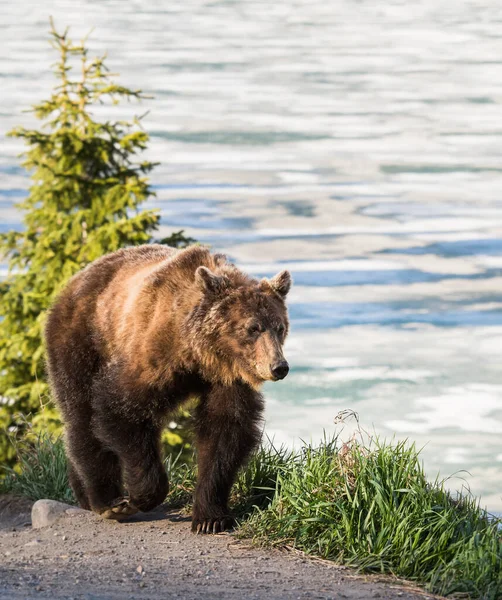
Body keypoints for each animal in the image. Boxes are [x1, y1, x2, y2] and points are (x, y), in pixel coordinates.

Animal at [46, 245, 294, 536]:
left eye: (280, 327)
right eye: (253, 327)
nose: (279, 367)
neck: (199, 355)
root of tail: (76, 279)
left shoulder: (228, 380)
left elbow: (225, 431)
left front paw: (210, 517)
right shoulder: (153, 357)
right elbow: (120, 409)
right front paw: (142, 496)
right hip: (82, 339)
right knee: (81, 415)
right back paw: (106, 500)